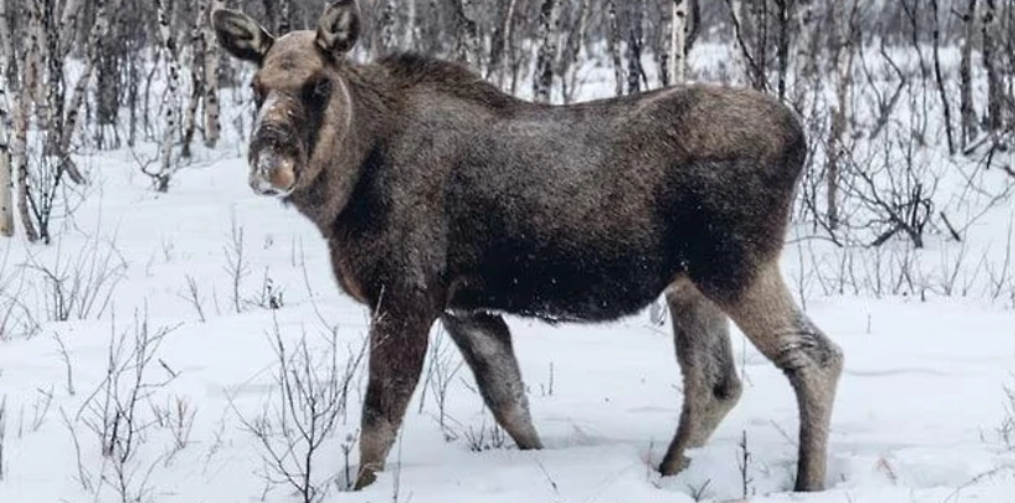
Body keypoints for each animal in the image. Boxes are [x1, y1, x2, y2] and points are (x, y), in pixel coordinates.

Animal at [212, 0, 840, 490]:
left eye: (319, 85)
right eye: (256, 87)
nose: (270, 165)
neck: (344, 192)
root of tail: (801, 134)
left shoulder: (406, 294)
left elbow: (378, 421)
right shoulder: (466, 307)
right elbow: (512, 405)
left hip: (735, 264)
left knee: (815, 356)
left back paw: (806, 482)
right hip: (691, 284)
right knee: (714, 384)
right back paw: (666, 471)